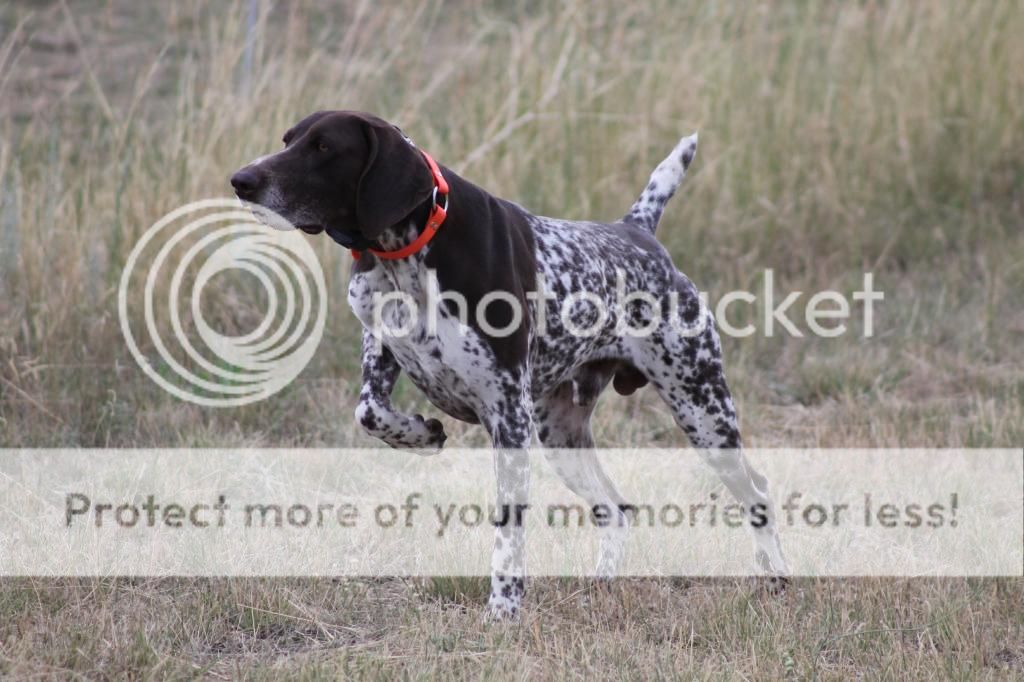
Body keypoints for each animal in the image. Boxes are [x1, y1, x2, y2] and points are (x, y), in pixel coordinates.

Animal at [234, 110, 790, 614]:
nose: (241, 181)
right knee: (616, 510)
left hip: (702, 411)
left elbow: (508, 532)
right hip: (563, 436)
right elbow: (369, 411)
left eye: (324, 148)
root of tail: (639, 233)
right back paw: (602, 585)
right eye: (288, 139)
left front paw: (503, 611)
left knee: (758, 492)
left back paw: (777, 579)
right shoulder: (384, 346)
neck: (411, 252)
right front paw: (420, 434)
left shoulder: (507, 419)